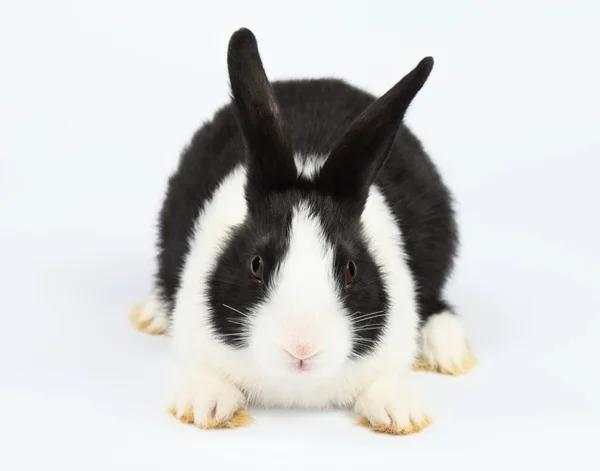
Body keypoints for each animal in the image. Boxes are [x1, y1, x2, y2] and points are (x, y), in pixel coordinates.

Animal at [129, 28, 476, 436]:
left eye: (351, 269)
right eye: (256, 264)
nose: (302, 347)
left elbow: (385, 379)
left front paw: (400, 414)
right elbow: (205, 372)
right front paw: (205, 406)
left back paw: (448, 352)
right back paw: (151, 314)